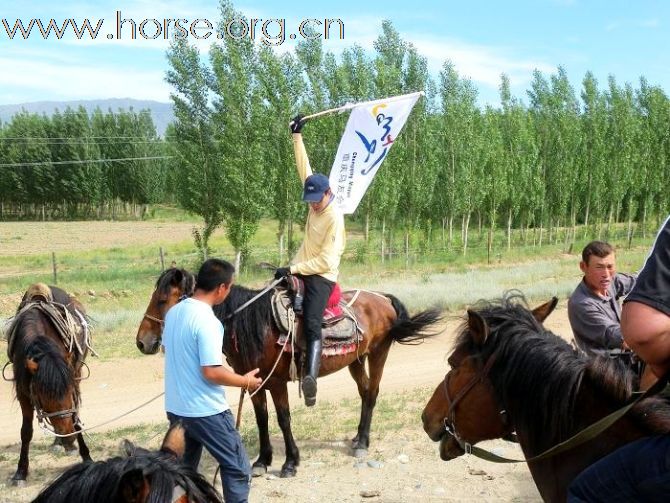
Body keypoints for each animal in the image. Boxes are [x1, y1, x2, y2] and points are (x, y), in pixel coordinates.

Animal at [5, 284, 92, 484]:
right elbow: (25, 431)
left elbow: (75, 416)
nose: (68, 437)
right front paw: (20, 472)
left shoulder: (73, 380)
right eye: (43, 397)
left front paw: (86, 456)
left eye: (69, 392)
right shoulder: (23, 392)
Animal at [135, 268, 446, 476]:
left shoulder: (276, 382)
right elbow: (262, 419)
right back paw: (358, 438)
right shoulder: (253, 382)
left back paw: (363, 443)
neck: (255, 324)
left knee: (372, 393)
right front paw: (262, 461)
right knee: (364, 391)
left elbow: (283, 419)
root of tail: (382, 298)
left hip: (378, 353)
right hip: (356, 361)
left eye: (162, 300)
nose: (142, 342)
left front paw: (290, 462)